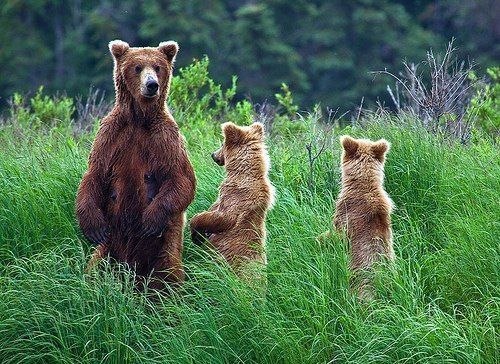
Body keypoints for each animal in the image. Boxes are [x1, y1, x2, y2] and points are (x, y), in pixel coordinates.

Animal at [76, 39, 195, 288]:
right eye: (137, 67)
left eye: (157, 67)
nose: (151, 85)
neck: (140, 118)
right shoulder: (111, 135)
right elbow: (94, 174)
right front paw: (93, 227)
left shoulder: (165, 138)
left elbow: (181, 178)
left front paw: (150, 220)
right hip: (110, 247)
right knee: (95, 268)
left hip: (164, 248)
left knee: (168, 273)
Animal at [190, 121, 276, 278]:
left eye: (222, 143)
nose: (213, 154)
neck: (242, 173)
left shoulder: (236, 196)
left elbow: (221, 217)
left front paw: (197, 234)